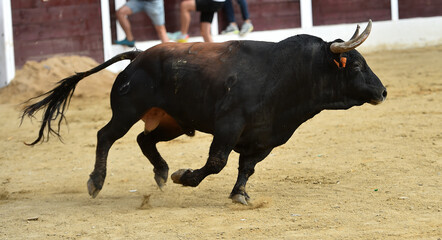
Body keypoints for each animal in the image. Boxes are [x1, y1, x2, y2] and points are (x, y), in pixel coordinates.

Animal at [22, 20, 386, 204]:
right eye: (355, 65)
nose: (382, 92)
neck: (287, 75)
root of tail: (138, 56)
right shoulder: (228, 127)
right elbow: (217, 162)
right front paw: (185, 177)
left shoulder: (265, 137)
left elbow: (247, 167)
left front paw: (239, 194)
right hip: (127, 110)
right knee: (106, 136)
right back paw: (97, 182)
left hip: (173, 122)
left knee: (144, 140)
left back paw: (161, 172)